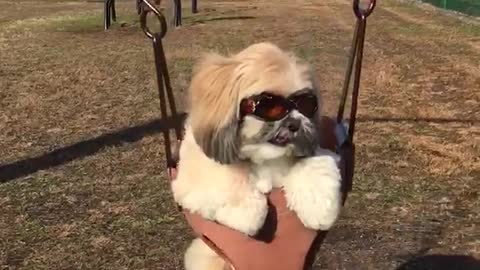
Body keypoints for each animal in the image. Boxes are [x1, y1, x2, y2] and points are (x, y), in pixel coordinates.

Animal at [172, 42, 342, 270]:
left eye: (306, 106)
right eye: (271, 106)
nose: (295, 123)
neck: (264, 157)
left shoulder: (322, 154)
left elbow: (314, 164)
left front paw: (319, 208)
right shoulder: (191, 178)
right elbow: (228, 174)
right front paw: (247, 213)